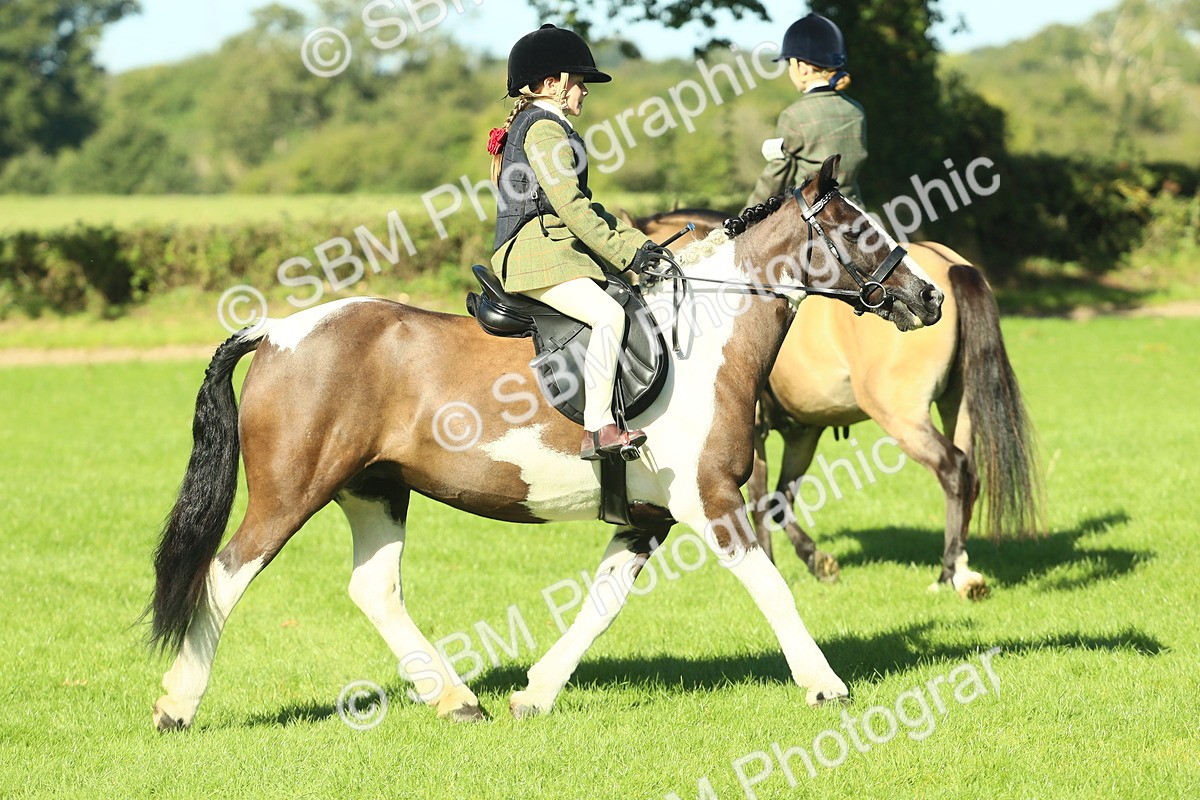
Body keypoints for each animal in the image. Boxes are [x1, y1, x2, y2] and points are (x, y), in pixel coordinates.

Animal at [146, 156, 944, 731]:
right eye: (859, 231)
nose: (929, 298)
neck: (705, 334)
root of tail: (276, 331)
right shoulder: (710, 501)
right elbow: (771, 587)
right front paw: (826, 685)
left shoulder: (648, 519)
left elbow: (600, 606)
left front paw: (534, 694)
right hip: (291, 492)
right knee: (225, 575)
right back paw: (177, 706)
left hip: (375, 489)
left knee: (373, 588)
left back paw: (457, 700)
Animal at [630, 211, 1042, 599]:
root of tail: (952, 265)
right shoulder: (803, 434)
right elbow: (779, 499)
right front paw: (812, 558)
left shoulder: (754, 435)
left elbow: (762, 500)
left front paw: (796, 558)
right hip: (959, 406)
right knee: (969, 474)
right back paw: (960, 568)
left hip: (901, 416)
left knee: (953, 469)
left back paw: (950, 572)